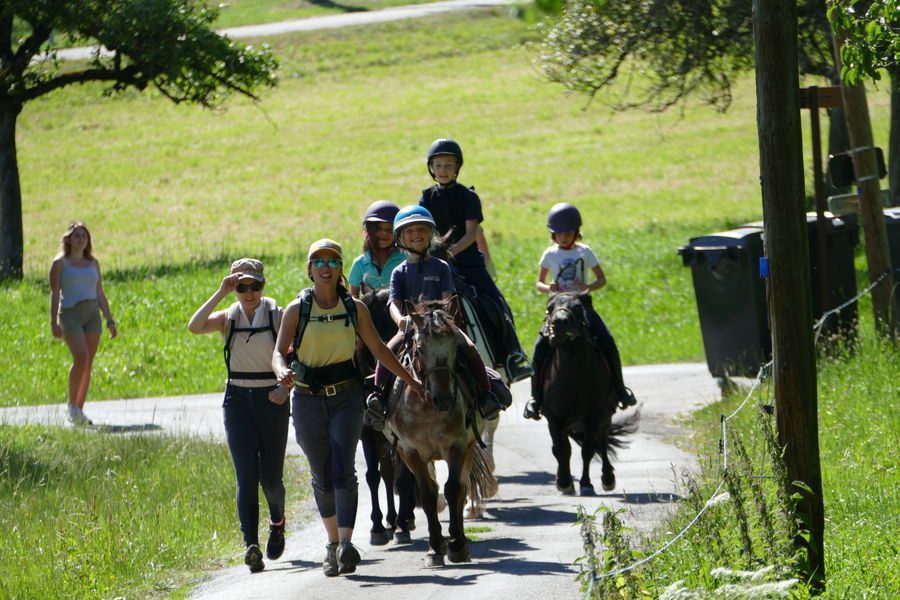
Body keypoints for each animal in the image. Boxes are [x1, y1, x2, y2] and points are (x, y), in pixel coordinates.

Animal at [384, 302, 496, 564]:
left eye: (456, 347)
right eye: (420, 349)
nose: (443, 399)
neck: (426, 408)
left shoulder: (457, 446)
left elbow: (453, 489)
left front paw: (456, 545)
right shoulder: (410, 451)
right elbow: (428, 494)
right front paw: (435, 547)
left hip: (468, 450)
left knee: (462, 488)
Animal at [536, 292, 636, 494]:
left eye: (577, 307)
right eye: (549, 308)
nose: (559, 323)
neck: (572, 378)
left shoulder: (594, 416)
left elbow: (588, 449)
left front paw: (586, 483)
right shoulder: (554, 418)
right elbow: (560, 449)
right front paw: (564, 482)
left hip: (604, 419)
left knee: (602, 443)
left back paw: (608, 478)